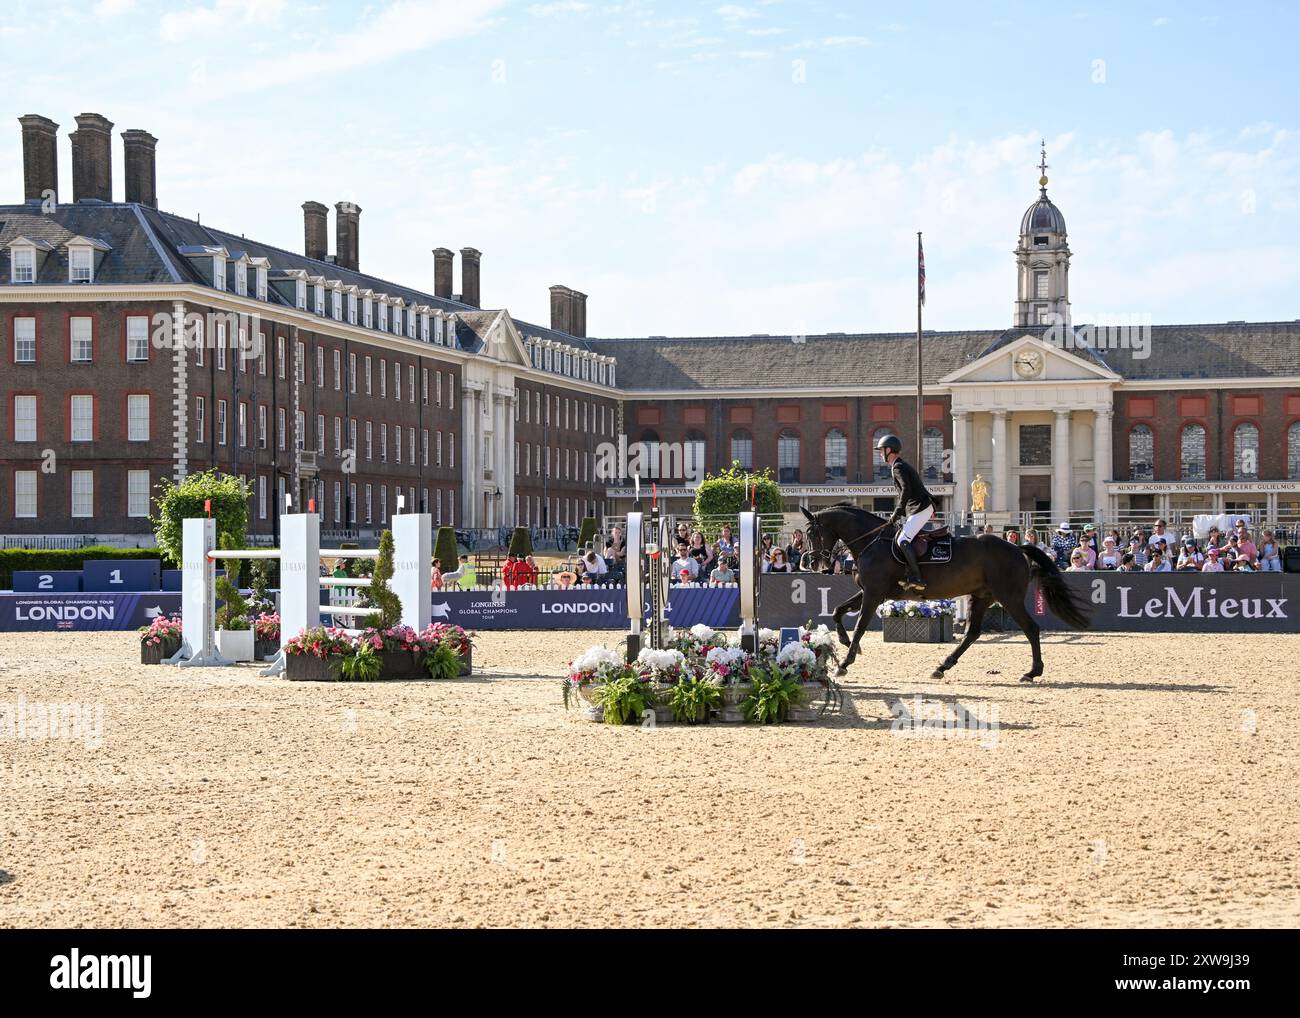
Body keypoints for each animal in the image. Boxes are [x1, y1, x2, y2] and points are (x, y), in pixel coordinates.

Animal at [795, 504, 1092, 686]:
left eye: (811, 532)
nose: (814, 563)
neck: (871, 541)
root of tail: (1017, 548)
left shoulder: (873, 593)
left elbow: (859, 625)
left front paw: (846, 662)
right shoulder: (870, 592)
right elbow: (838, 612)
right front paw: (847, 645)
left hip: (1009, 597)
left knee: (1031, 628)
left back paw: (1032, 672)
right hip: (982, 596)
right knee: (972, 633)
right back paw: (942, 666)